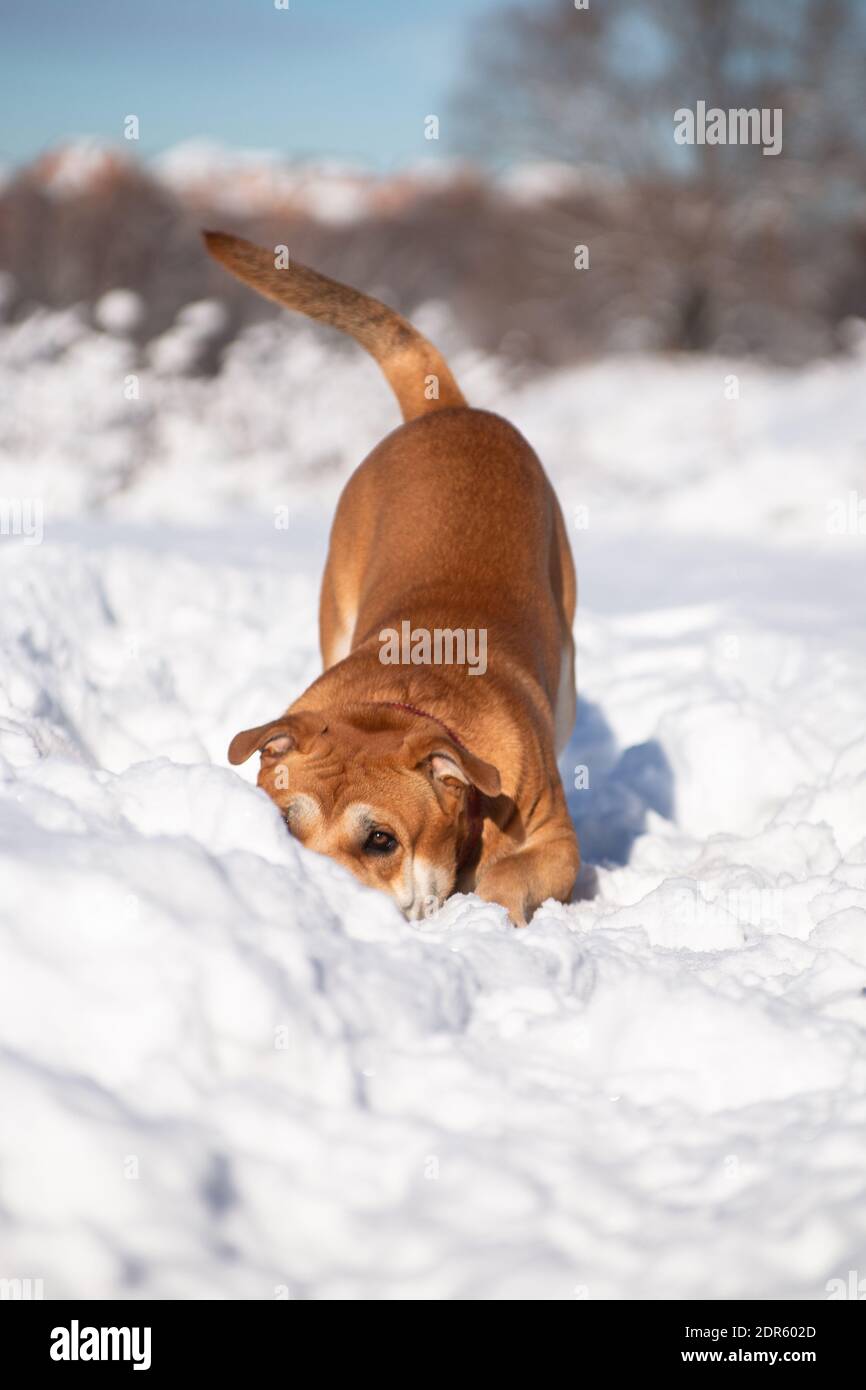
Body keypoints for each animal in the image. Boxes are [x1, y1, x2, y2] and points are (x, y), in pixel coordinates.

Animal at [205, 230, 578, 922]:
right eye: (283, 824)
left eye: (380, 840)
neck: (399, 705)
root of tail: (449, 411)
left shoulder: (555, 839)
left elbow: (507, 876)